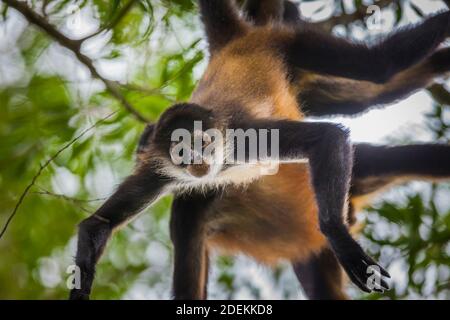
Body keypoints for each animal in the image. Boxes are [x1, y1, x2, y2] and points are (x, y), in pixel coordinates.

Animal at [68, 0, 450, 300]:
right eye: (181, 153)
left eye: (203, 143)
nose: (198, 163)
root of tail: (237, 42)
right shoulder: (158, 170)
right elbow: (97, 224)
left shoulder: (244, 137)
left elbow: (327, 138)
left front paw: (341, 240)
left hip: (288, 41)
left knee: (379, 65)